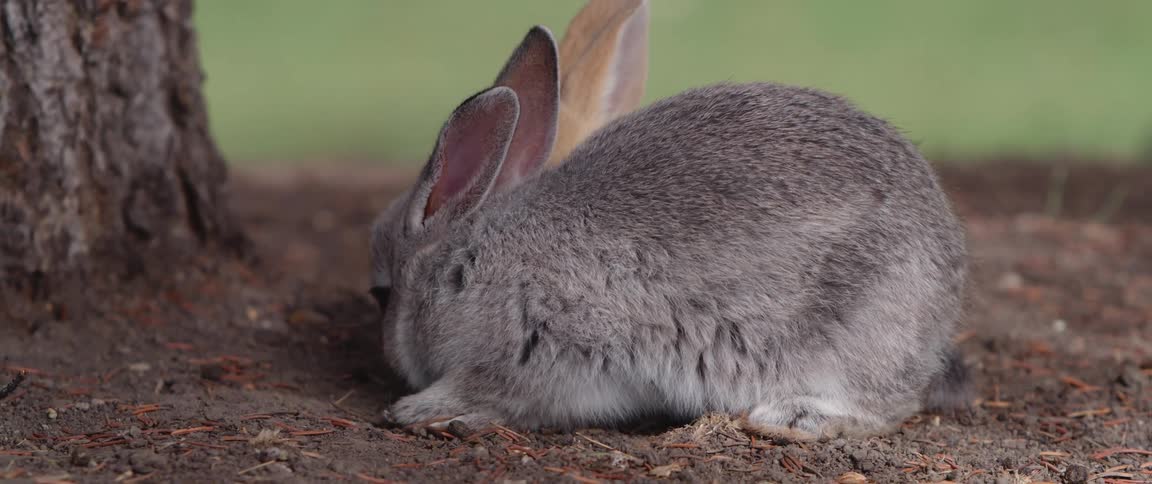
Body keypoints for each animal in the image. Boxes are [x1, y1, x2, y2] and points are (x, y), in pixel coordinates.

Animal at [369, 24, 971, 441]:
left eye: (380, 293)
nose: (390, 359)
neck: (464, 265)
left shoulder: (546, 346)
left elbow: (502, 391)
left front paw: (423, 410)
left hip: (849, 336)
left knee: (891, 404)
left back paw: (795, 417)